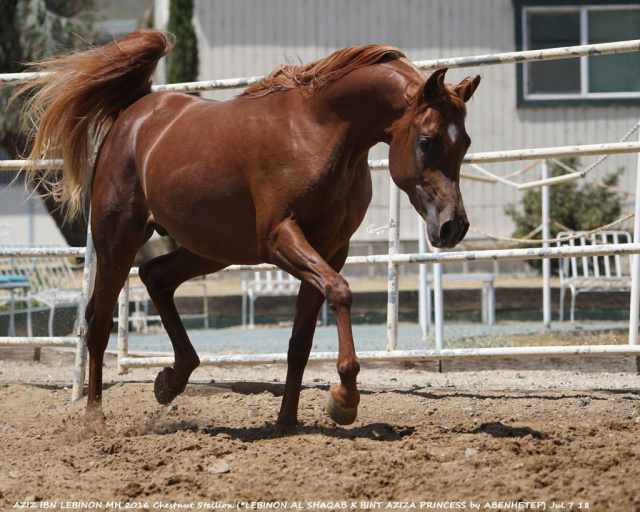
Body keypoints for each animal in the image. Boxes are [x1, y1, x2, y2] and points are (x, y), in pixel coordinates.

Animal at [17, 30, 480, 434]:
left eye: (465, 143)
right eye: (426, 141)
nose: (452, 226)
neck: (319, 130)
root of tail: (135, 113)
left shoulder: (331, 250)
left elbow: (301, 340)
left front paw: (287, 422)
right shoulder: (280, 239)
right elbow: (341, 292)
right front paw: (343, 401)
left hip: (211, 248)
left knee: (156, 277)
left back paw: (170, 380)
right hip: (118, 241)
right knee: (98, 321)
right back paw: (95, 417)